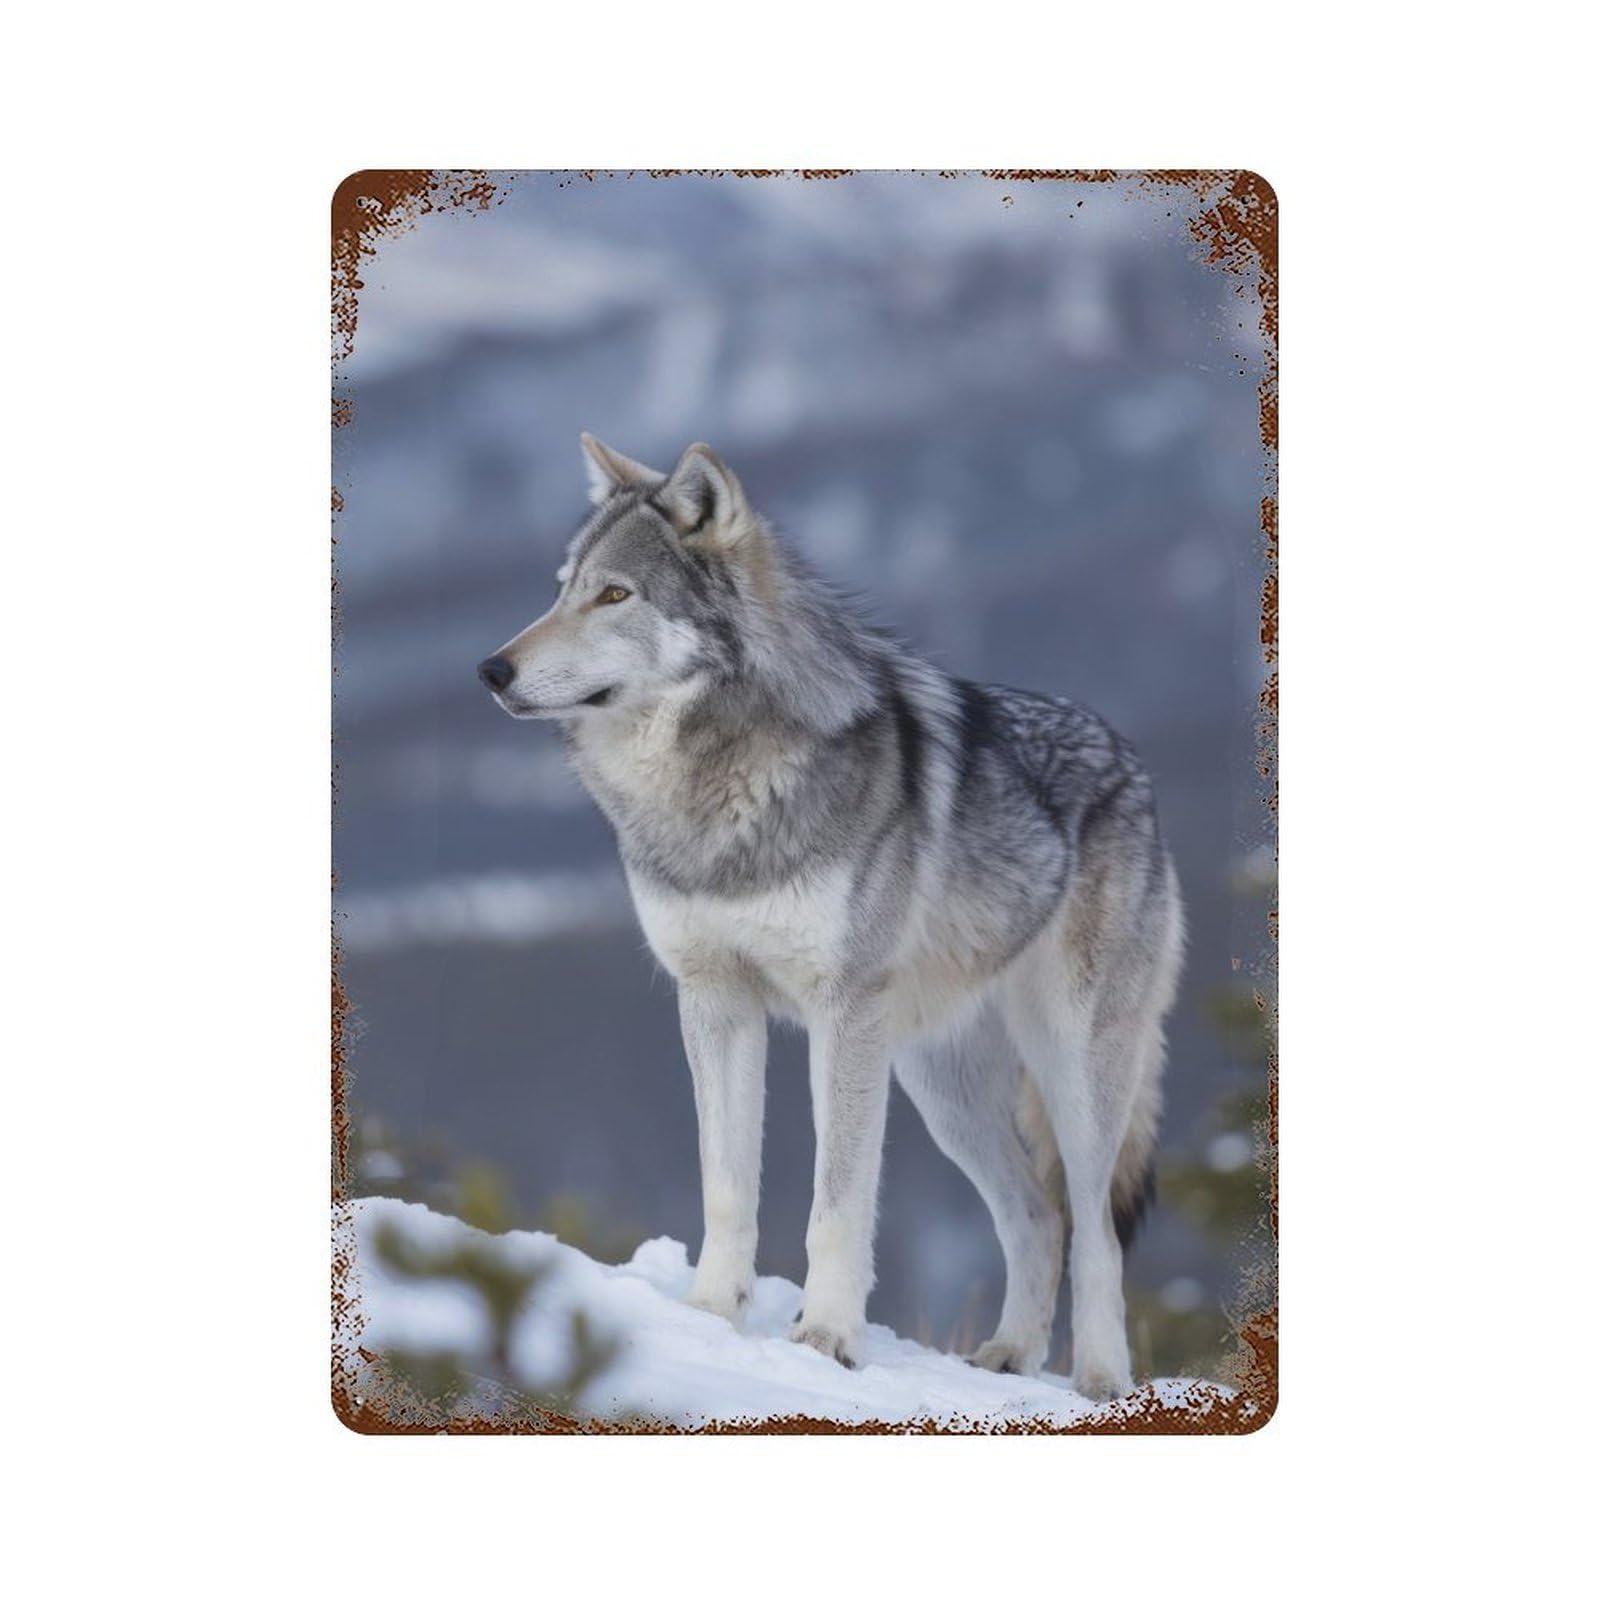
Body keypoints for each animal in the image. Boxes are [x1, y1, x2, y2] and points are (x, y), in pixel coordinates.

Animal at [477, 435, 1183, 1399]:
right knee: (1037, 1215)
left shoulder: (840, 1013)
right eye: (560, 589)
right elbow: (727, 1185)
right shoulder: (713, 998)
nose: (492, 670)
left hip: (1069, 1066)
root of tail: (1132, 761)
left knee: (1096, 1228)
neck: (716, 793)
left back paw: (1102, 1383)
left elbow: (838, 1201)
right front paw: (708, 1316)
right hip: (939, 1087)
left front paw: (826, 1339)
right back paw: (1008, 1356)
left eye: (615, 595)